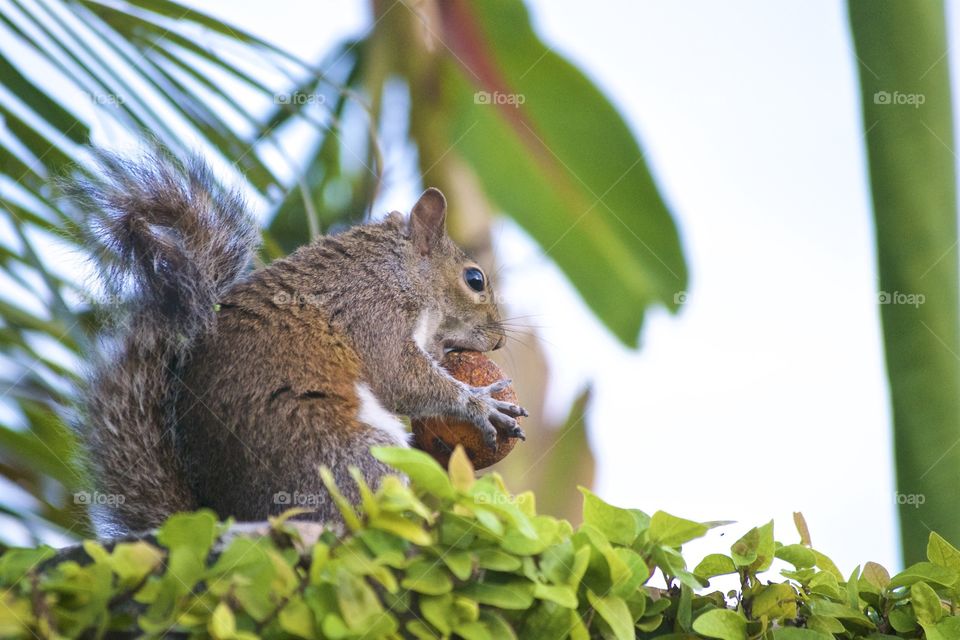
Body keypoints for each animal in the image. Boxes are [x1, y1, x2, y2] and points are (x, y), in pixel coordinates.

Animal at [66, 147, 528, 535]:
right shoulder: (372, 313)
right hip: (350, 451)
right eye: (475, 279)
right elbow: (400, 376)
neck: (396, 268)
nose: (498, 341)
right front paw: (479, 403)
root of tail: (230, 517)